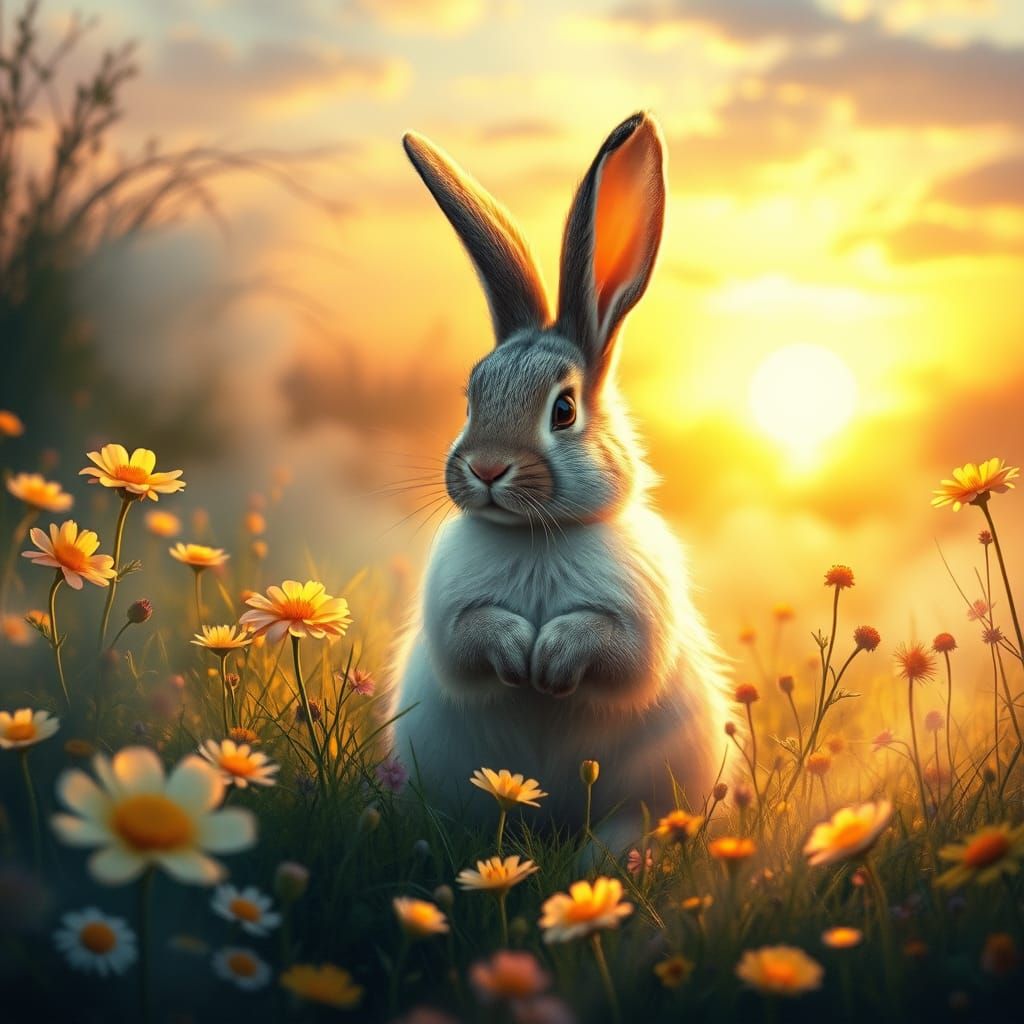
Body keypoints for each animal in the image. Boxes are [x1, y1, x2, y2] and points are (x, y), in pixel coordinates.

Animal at [388, 112, 730, 843]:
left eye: (564, 409)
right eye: (470, 399)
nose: (486, 468)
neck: (537, 533)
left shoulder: (637, 620)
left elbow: (613, 647)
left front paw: (548, 661)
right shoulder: (452, 615)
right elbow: (473, 635)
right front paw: (520, 653)